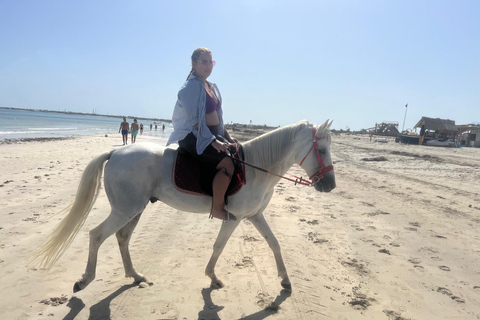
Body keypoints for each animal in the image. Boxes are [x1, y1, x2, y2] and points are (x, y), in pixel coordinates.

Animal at [34, 119, 334, 292]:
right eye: (322, 150)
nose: (330, 185)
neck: (255, 169)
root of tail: (115, 152)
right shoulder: (235, 218)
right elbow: (219, 246)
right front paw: (212, 278)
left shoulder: (254, 216)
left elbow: (274, 244)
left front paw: (285, 280)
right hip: (125, 209)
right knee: (97, 235)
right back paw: (85, 279)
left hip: (134, 209)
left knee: (122, 237)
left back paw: (135, 276)